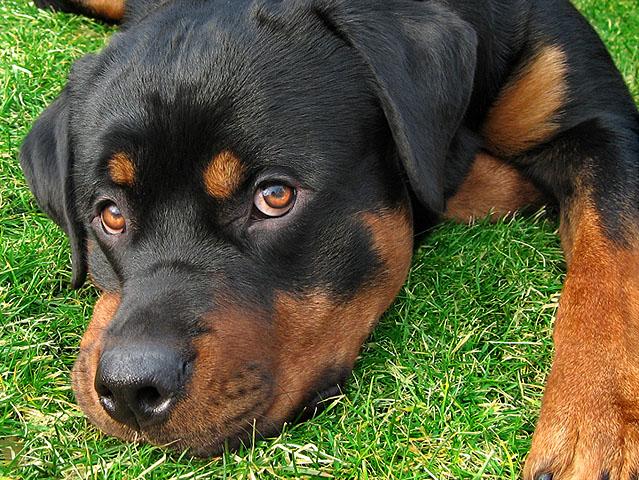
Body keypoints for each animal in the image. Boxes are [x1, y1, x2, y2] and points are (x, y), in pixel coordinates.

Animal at [20, 0, 639, 478]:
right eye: (109, 214)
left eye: (275, 196)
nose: (130, 389)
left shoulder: (602, 121)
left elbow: (612, 267)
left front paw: (596, 427)